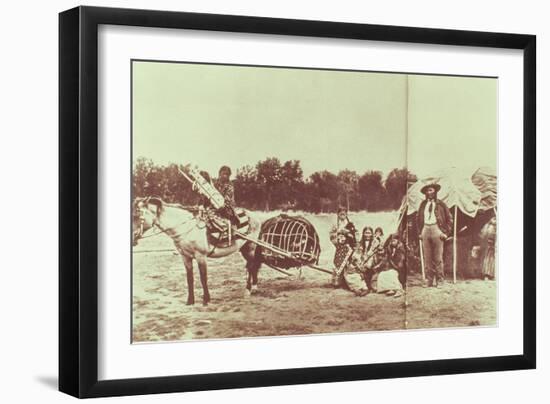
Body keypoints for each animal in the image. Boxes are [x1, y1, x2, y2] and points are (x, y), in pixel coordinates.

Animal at [134, 196, 264, 306]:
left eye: (136, 215)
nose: (133, 239)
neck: (186, 228)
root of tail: (254, 215)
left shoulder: (201, 256)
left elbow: (203, 278)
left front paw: (206, 300)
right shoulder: (185, 257)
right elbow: (190, 279)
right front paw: (190, 301)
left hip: (251, 247)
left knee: (252, 266)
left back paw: (248, 290)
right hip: (244, 249)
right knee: (251, 266)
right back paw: (253, 287)